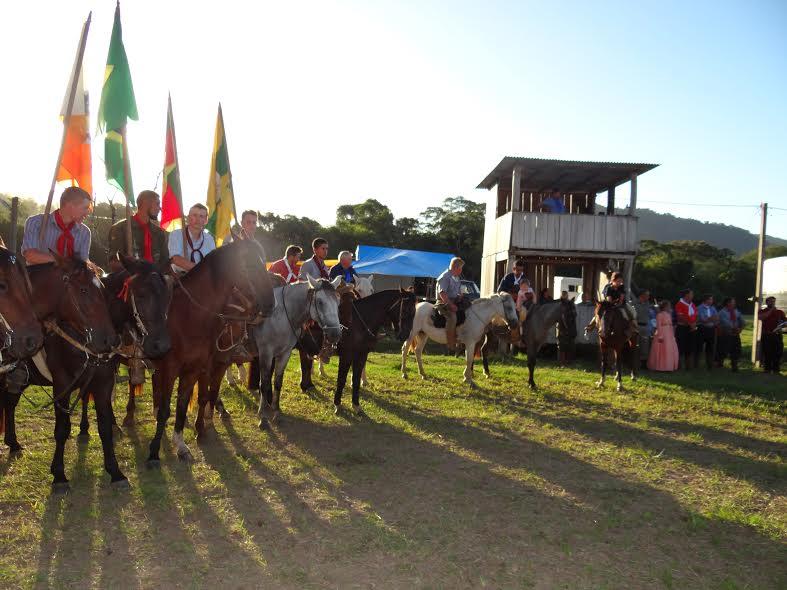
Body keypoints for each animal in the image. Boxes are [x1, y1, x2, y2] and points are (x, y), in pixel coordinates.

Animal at [148, 240, 274, 468]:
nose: (270, 305)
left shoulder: (208, 366)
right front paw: (155, 450)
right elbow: (173, 406)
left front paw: (203, 427)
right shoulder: (176, 368)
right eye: (250, 265)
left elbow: (202, 397)